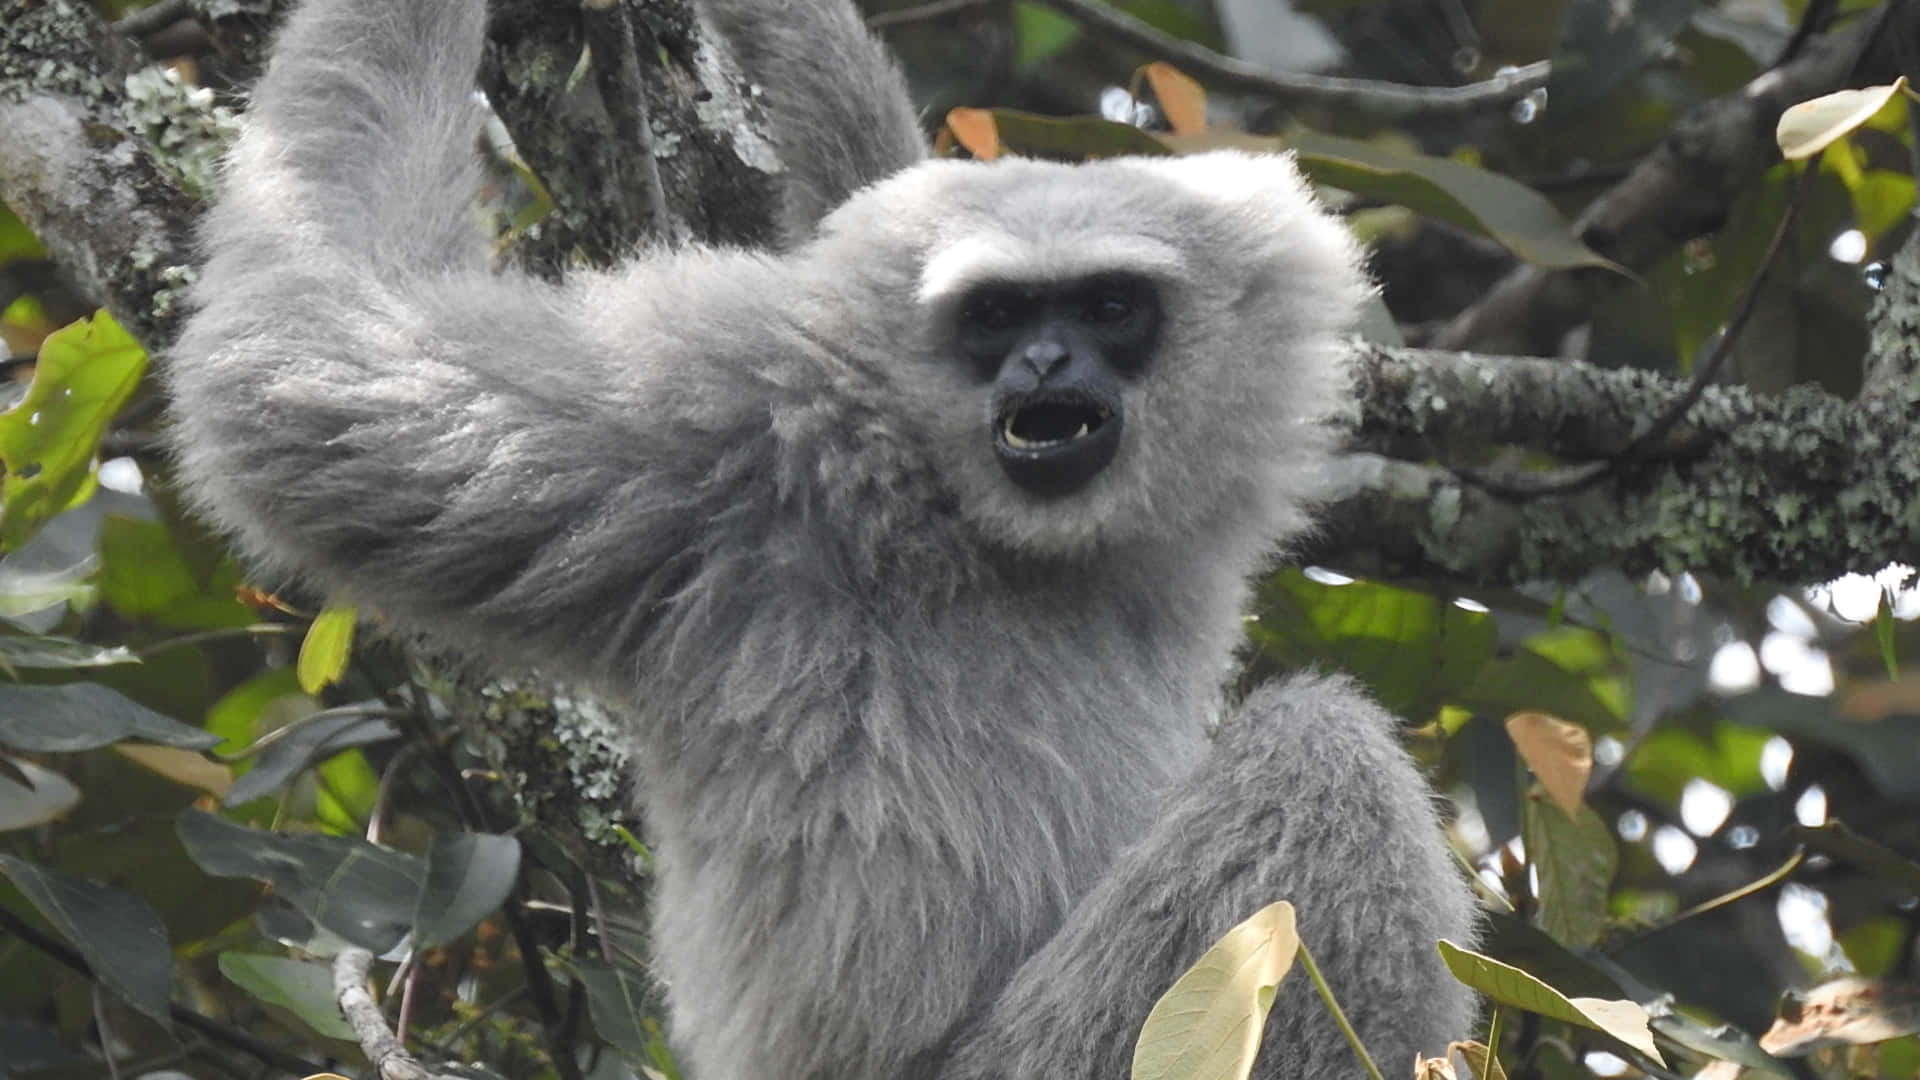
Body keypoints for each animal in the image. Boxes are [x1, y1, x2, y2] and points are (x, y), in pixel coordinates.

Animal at [164, 0, 1479, 1077]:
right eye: (997, 315)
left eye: (1111, 307)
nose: (1044, 363)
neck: (970, 524)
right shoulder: (728, 427)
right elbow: (299, 371)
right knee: (1322, 755)